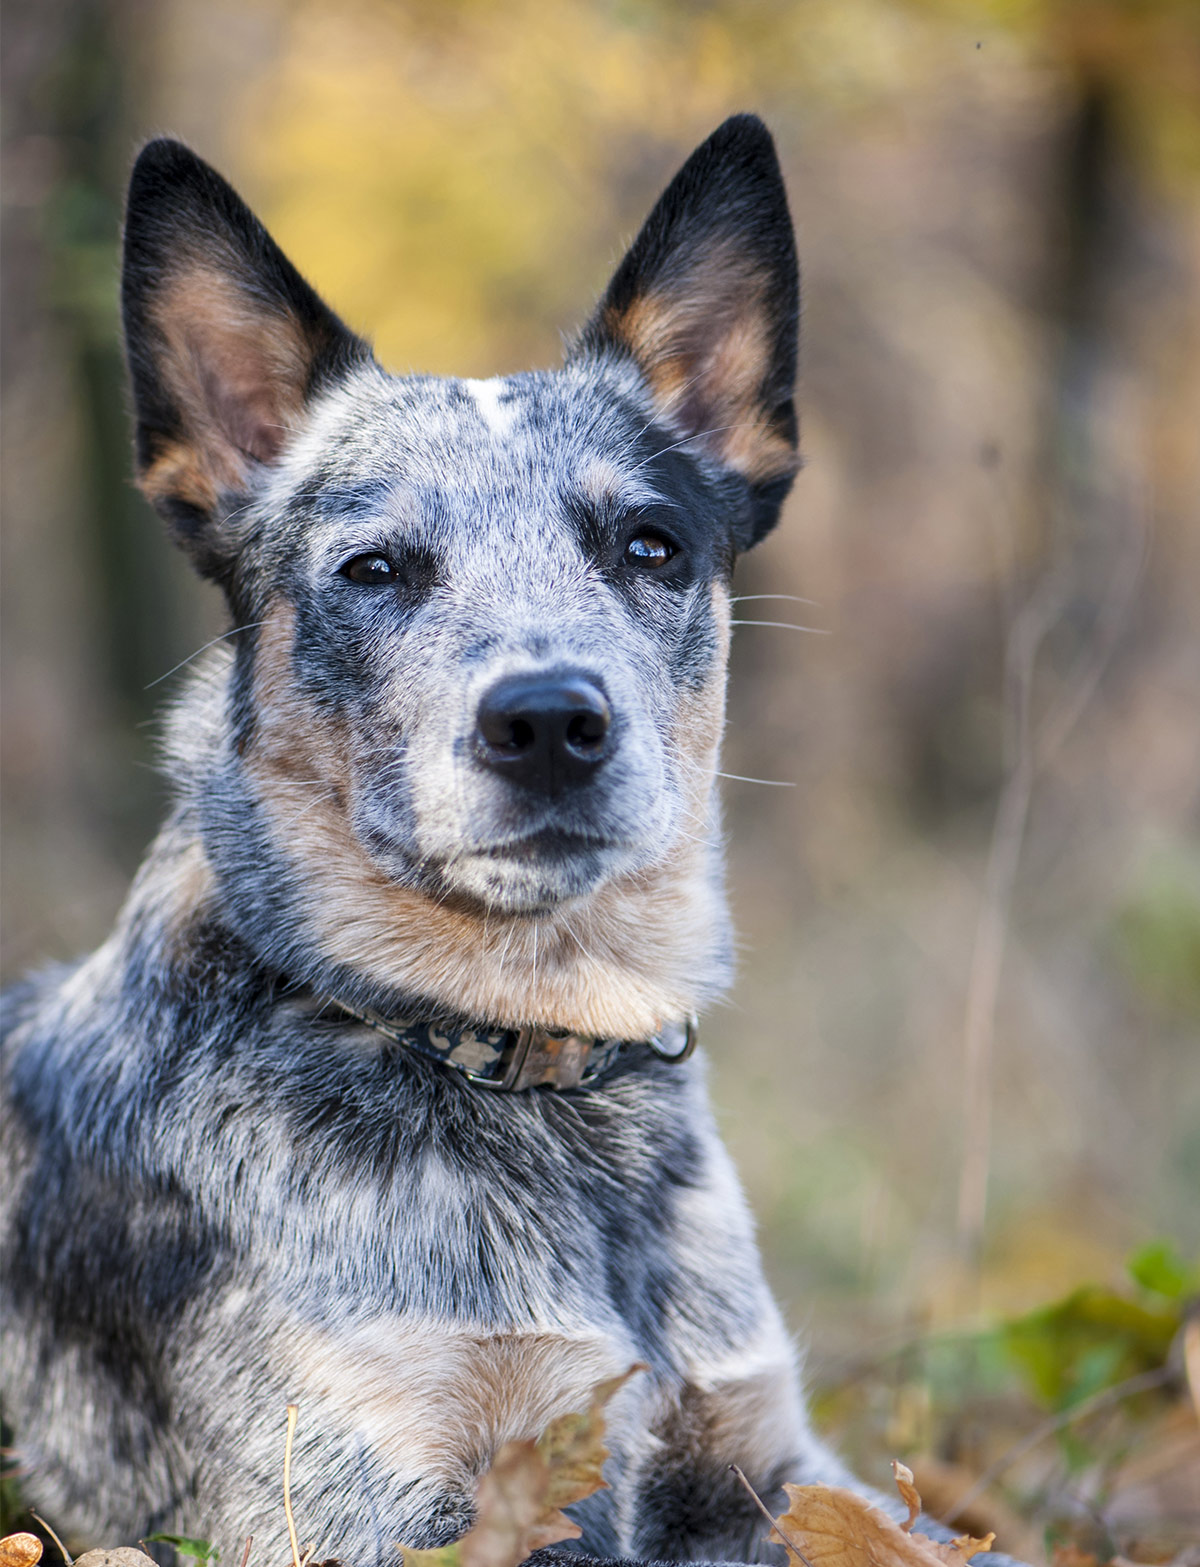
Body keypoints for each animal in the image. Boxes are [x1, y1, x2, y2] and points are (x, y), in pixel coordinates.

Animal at [0, 113, 1027, 1567]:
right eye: (374, 567)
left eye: (649, 543)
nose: (547, 718)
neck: (527, 1059)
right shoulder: (377, 1501)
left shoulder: (775, 1457)